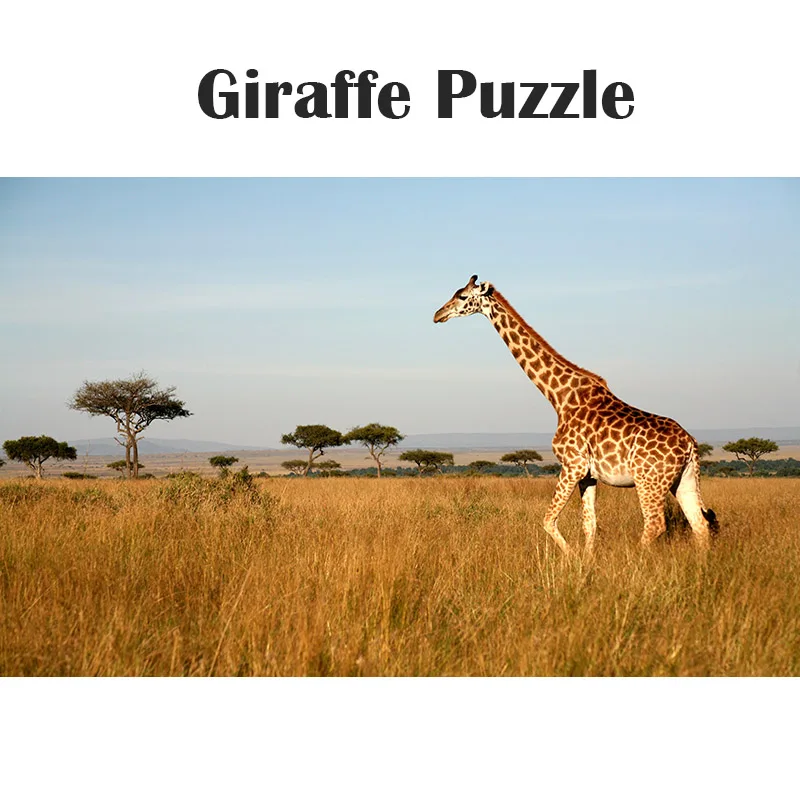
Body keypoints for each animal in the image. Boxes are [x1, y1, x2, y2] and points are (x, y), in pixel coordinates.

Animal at [433, 275, 718, 556]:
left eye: (462, 296)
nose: (438, 314)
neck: (560, 397)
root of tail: (690, 444)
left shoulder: (572, 465)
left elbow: (548, 520)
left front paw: (570, 557)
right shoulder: (588, 475)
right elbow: (589, 525)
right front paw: (587, 561)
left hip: (649, 480)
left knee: (655, 524)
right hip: (683, 479)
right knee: (699, 524)